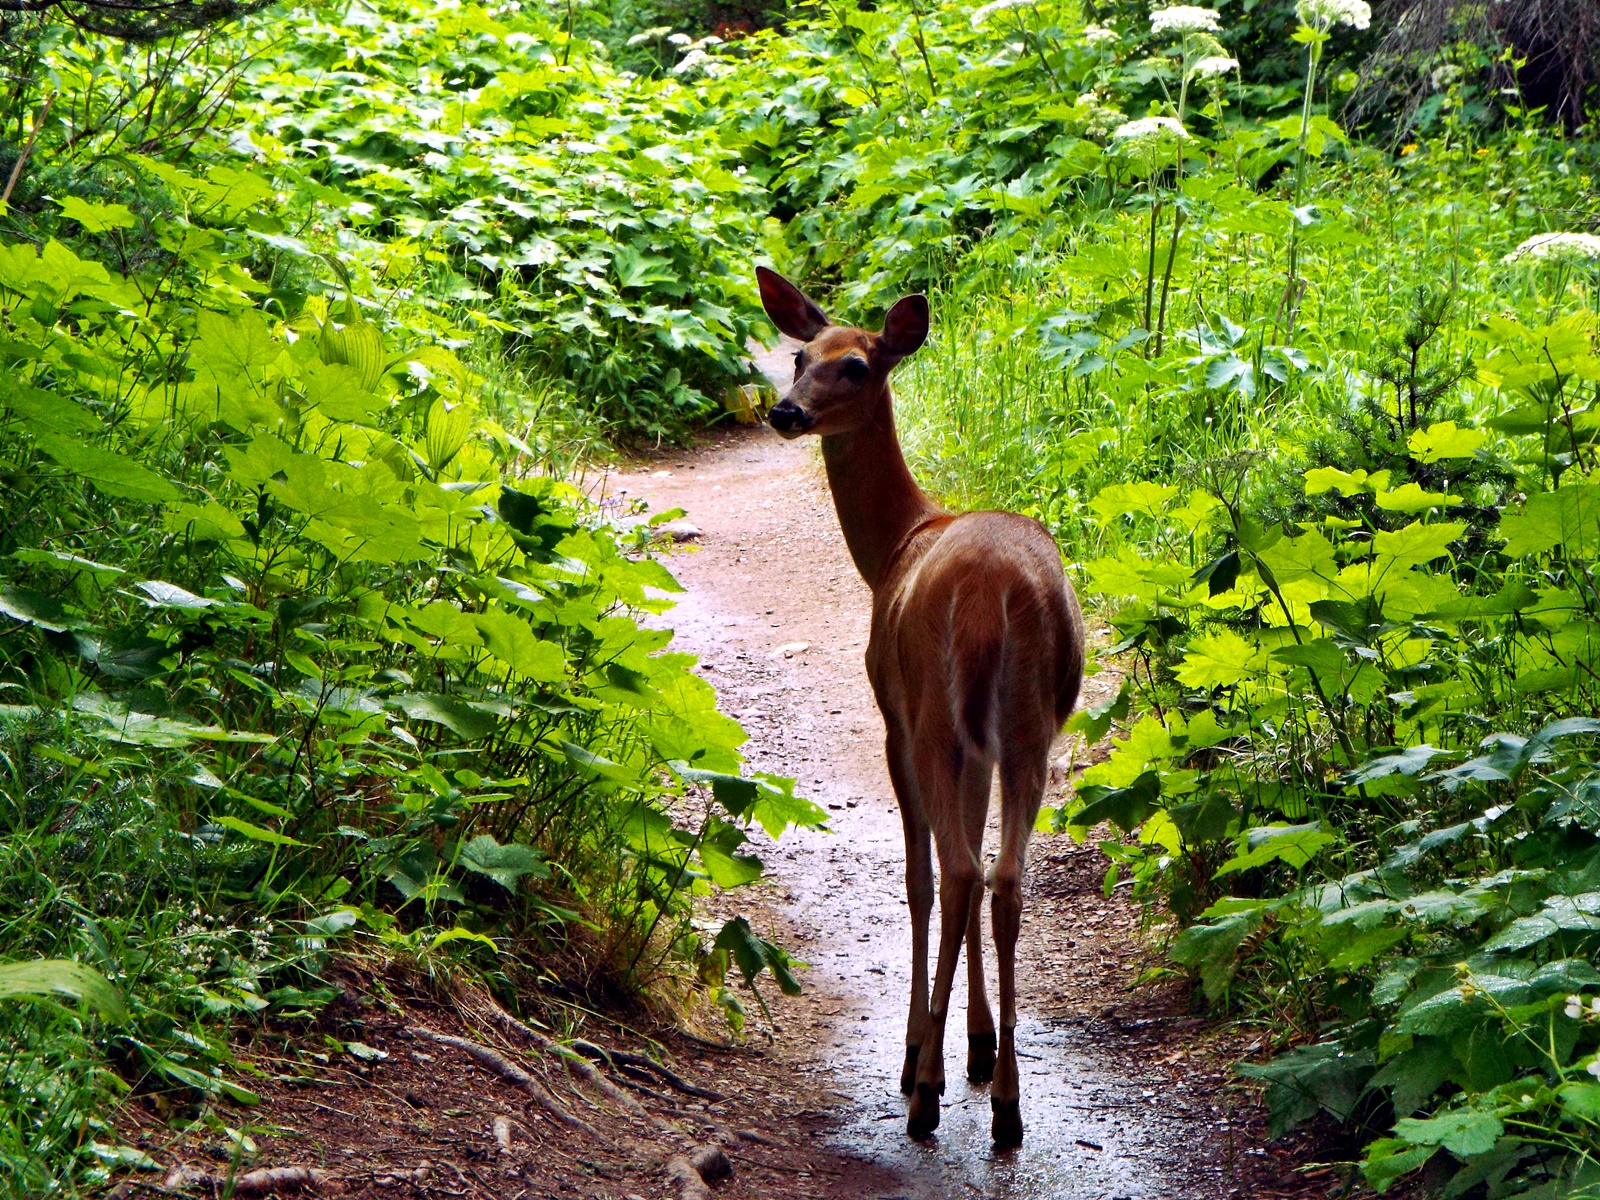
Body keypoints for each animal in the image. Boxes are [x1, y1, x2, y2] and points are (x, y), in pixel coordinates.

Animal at [755, 267, 1086, 1148]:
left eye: (856, 365)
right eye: (799, 355)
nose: (785, 411)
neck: (895, 546)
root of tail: (994, 595)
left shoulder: (895, 721)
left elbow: (919, 877)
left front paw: (920, 1050)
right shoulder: (984, 745)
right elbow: (968, 857)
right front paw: (975, 1040)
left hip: (936, 712)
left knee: (960, 870)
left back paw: (926, 1088)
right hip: (1029, 727)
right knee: (1004, 877)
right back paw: (1005, 1102)